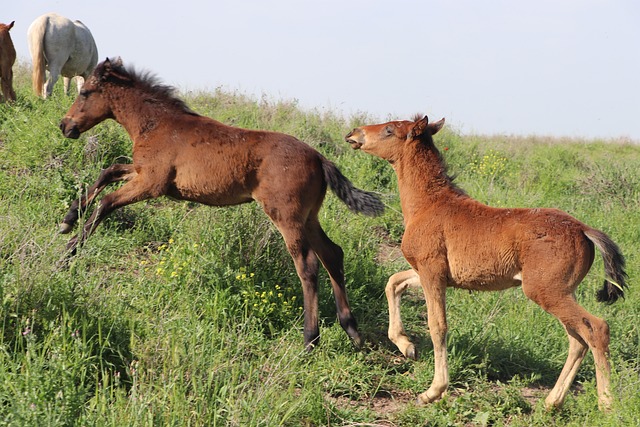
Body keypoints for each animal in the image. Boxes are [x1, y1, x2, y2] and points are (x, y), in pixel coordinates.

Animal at [58, 56, 384, 352]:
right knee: (333, 255)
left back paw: (310, 340)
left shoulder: (152, 183)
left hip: (286, 216)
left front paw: (67, 253)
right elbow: (109, 170)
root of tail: (319, 158)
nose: (64, 125)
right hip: (309, 217)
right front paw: (69, 218)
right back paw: (352, 331)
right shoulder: (141, 173)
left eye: (85, 92)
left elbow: (107, 202)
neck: (157, 124)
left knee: (308, 265)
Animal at [348, 115, 628, 410]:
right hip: (562, 291)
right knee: (577, 339)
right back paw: (552, 402)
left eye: (390, 129)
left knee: (596, 329)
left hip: (545, 290)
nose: (354, 133)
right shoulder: (430, 273)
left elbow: (438, 325)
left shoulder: (431, 270)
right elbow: (393, 283)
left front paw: (434, 390)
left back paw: (606, 404)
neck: (428, 204)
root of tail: (583, 230)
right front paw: (406, 346)